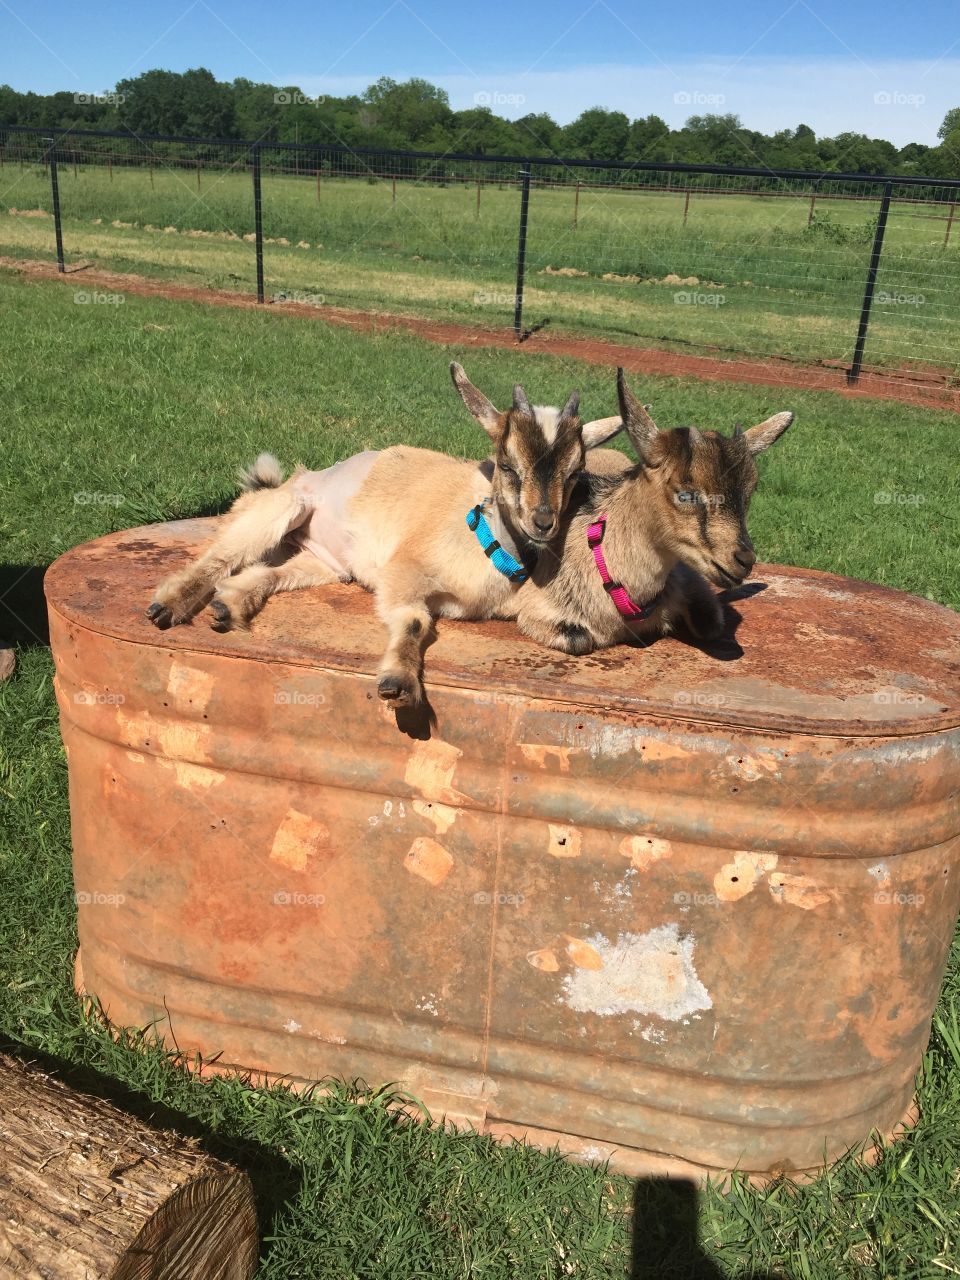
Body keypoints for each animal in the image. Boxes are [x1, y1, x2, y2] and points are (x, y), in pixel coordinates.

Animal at [147, 363, 625, 707]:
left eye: (576, 472)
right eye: (507, 465)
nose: (543, 523)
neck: (485, 537)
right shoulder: (403, 572)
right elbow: (413, 620)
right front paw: (399, 682)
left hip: (325, 563)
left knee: (266, 572)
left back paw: (228, 607)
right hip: (281, 509)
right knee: (218, 558)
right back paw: (169, 606)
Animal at [513, 368, 793, 654]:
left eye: (748, 495)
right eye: (685, 494)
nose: (744, 560)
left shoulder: (691, 579)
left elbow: (710, 625)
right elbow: (579, 639)